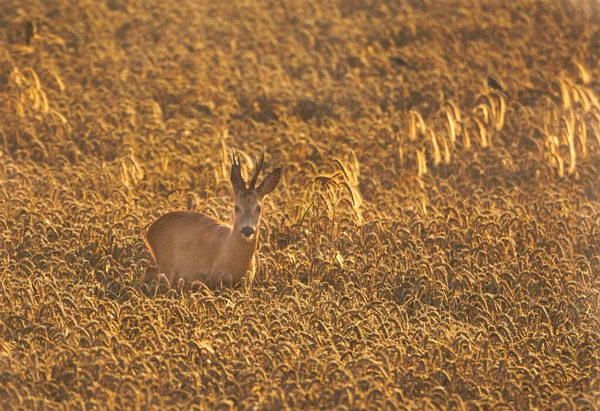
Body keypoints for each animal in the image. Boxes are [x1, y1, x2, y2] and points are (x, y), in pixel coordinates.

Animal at [146, 149, 284, 290]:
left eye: (259, 207)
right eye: (236, 207)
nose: (247, 230)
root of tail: (150, 229)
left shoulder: (250, 274)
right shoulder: (215, 271)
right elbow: (224, 277)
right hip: (165, 262)